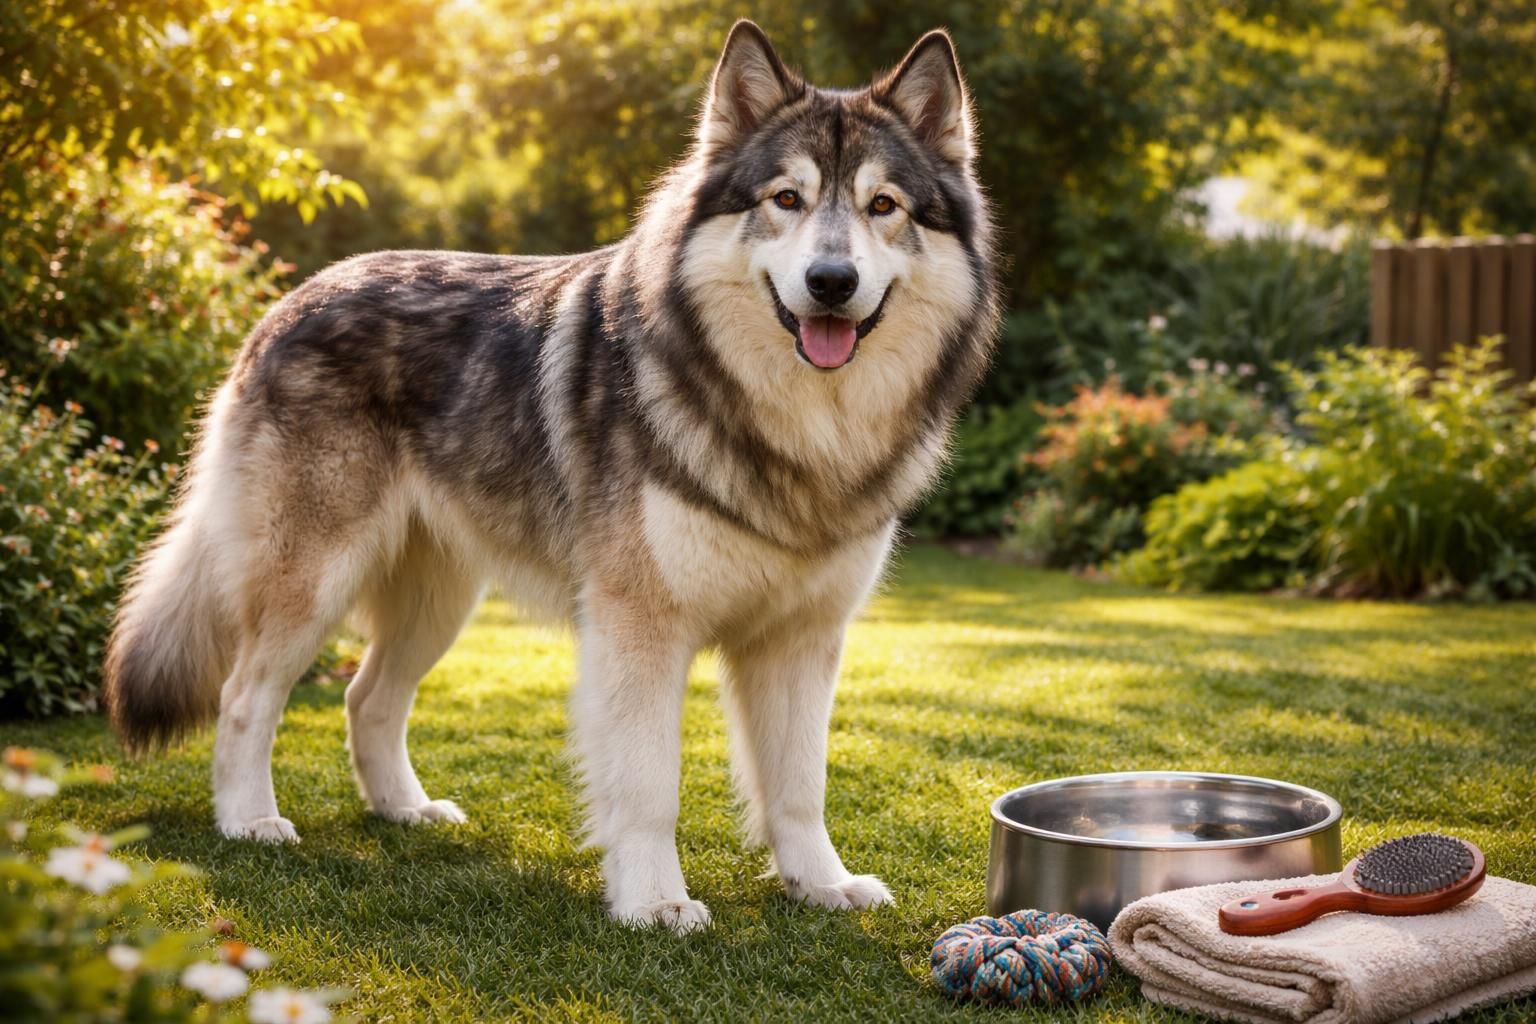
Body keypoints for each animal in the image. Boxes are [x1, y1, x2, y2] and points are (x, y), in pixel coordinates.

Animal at [104, 20, 999, 934]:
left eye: (882, 207)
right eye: (786, 199)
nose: (830, 282)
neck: (798, 433)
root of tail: (289, 300)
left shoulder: (802, 642)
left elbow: (800, 789)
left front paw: (822, 885)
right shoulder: (639, 631)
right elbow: (650, 787)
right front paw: (655, 902)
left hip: (437, 604)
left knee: (365, 699)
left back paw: (405, 811)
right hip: (312, 588)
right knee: (244, 696)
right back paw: (249, 822)